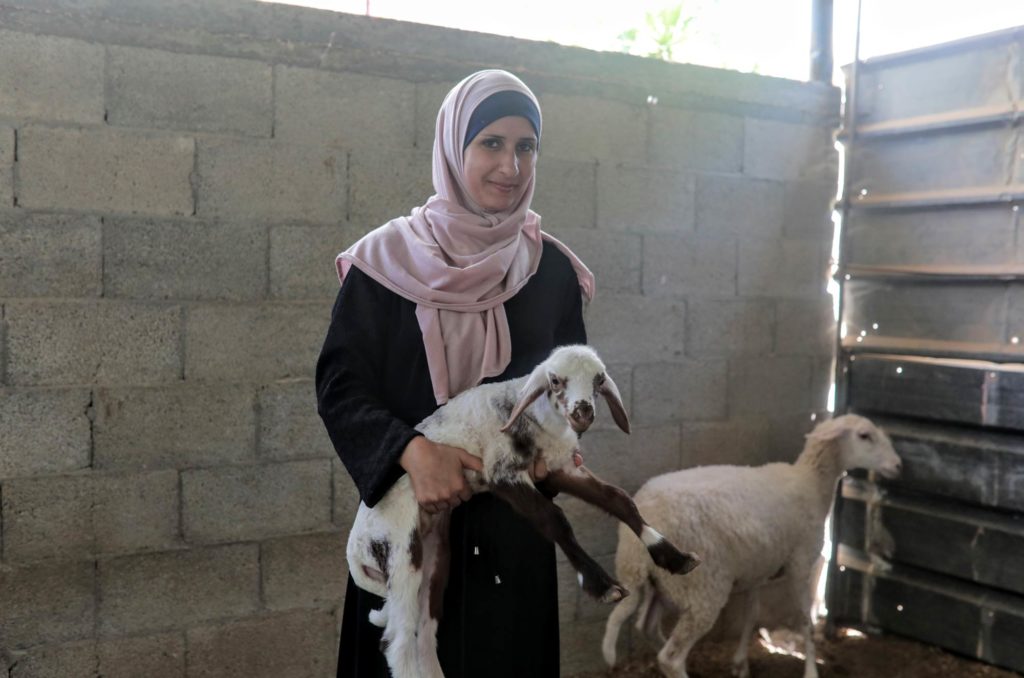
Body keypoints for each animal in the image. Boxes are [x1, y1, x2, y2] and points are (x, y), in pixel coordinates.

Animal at [348, 348, 700, 675]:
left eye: (599, 380)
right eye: (555, 381)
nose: (583, 413)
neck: (540, 421)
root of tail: (355, 553)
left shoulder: (559, 469)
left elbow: (620, 500)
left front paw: (674, 557)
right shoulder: (502, 473)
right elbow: (555, 519)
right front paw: (600, 585)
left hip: (433, 557)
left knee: (424, 631)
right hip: (401, 555)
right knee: (397, 643)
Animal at [602, 413, 901, 678]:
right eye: (865, 435)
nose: (898, 465)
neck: (811, 484)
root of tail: (633, 551)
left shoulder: (757, 568)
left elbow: (751, 615)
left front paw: (740, 663)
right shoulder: (801, 563)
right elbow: (805, 619)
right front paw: (811, 670)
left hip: (662, 585)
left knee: (648, 628)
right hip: (704, 586)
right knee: (670, 659)